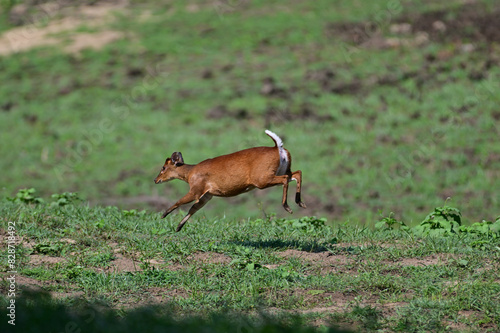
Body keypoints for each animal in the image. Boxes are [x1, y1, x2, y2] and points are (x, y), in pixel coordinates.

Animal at [154, 130, 306, 231]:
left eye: (163, 167)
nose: (155, 179)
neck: (190, 173)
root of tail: (278, 148)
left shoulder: (196, 190)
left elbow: (180, 201)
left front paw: (163, 215)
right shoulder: (208, 195)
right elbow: (194, 208)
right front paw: (179, 227)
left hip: (262, 179)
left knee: (286, 179)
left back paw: (288, 207)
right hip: (281, 170)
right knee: (297, 173)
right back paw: (300, 203)